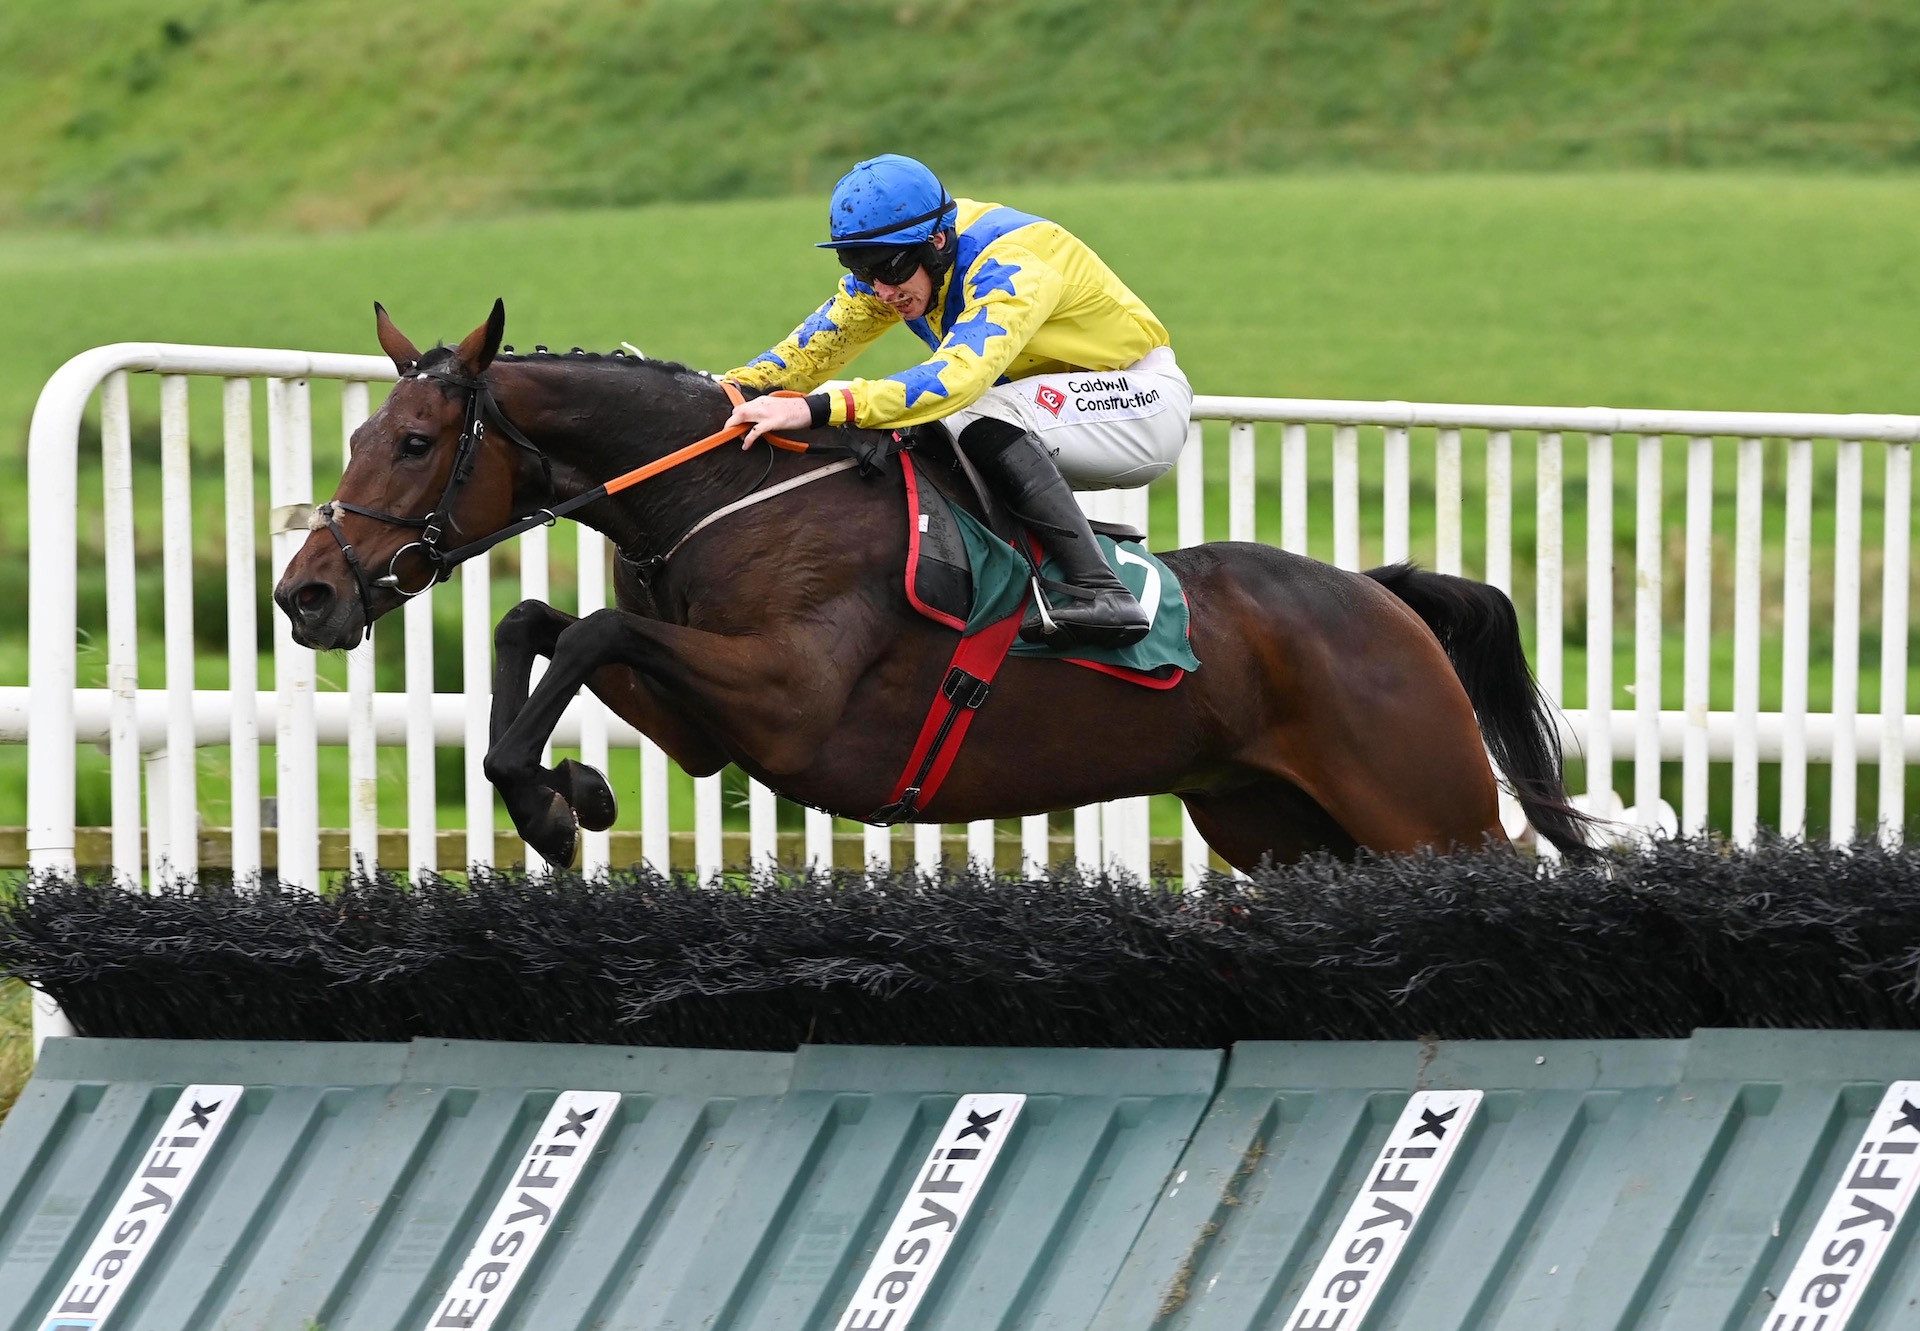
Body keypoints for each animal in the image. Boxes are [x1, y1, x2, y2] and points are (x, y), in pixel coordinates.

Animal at [270, 301, 1589, 871]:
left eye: (414, 443)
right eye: (358, 435)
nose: (306, 595)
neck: (722, 497)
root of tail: (1382, 598)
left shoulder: (790, 702)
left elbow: (588, 631)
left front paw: (553, 803)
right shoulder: (706, 724)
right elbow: (535, 622)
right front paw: (568, 789)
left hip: (1428, 814)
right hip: (1277, 826)